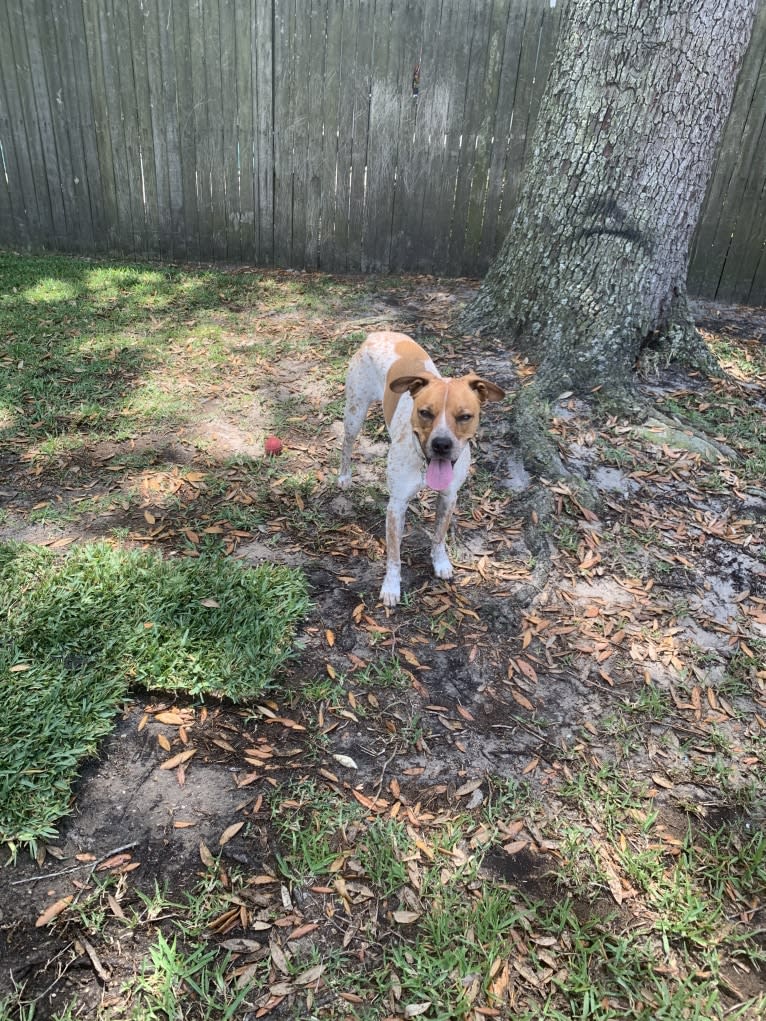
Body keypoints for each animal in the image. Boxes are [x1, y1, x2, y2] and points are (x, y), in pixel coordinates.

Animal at [339, 332, 506, 604]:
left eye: (465, 416)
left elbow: (439, 535)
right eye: (425, 412)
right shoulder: (396, 505)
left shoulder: (449, 497)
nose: (441, 444)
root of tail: (379, 333)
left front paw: (441, 563)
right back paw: (344, 476)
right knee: (346, 444)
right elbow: (394, 555)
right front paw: (391, 586)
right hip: (355, 412)